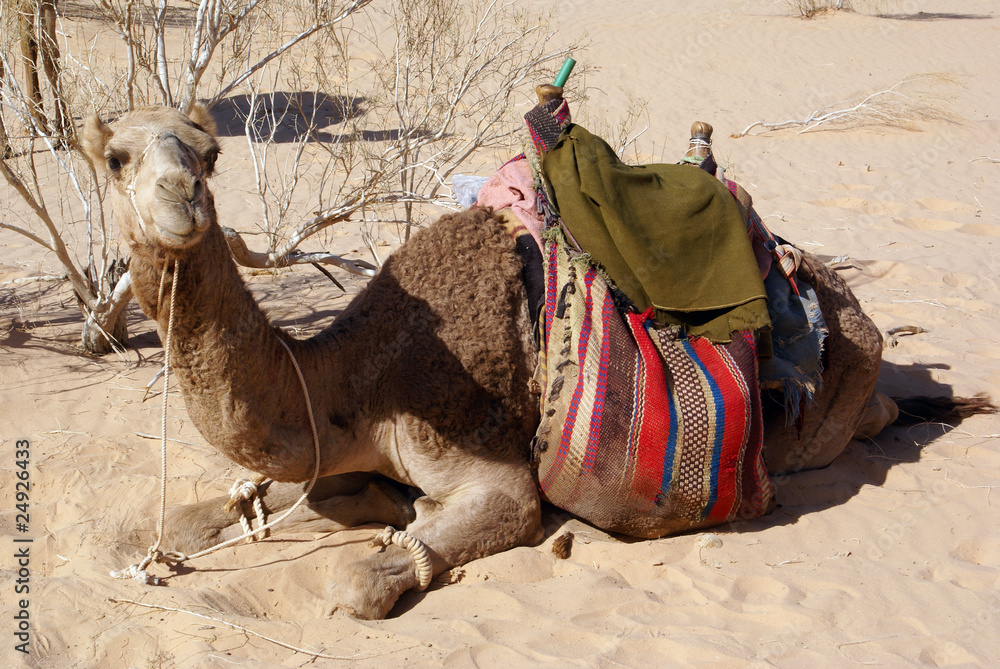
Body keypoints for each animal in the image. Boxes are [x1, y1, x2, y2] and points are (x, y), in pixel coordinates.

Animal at [81, 103, 900, 619]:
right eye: (116, 157)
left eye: (210, 156)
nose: (182, 197)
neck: (353, 381)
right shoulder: (338, 451)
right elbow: (202, 514)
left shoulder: (480, 463)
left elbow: (364, 575)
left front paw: (401, 527)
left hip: (832, 400)